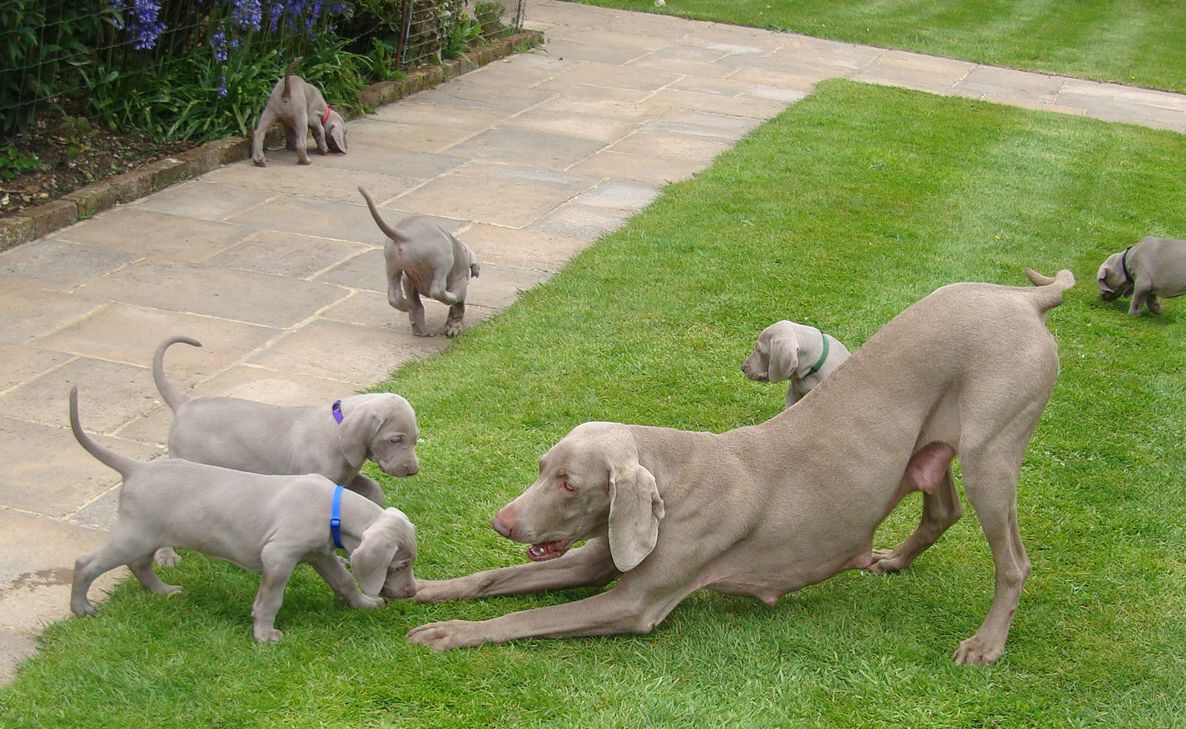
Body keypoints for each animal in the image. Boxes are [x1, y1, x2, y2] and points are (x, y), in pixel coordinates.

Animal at [67, 387, 417, 642]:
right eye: (398, 566)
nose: (411, 593)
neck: (331, 507)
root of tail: (136, 468)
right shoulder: (278, 556)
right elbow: (270, 598)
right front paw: (264, 635)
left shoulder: (320, 554)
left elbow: (343, 581)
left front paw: (364, 604)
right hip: (133, 535)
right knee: (86, 564)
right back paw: (81, 607)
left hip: (146, 535)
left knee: (139, 565)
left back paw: (163, 591)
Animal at [151, 335, 419, 566]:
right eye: (396, 440)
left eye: (415, 439)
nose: (413, 471)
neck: (337, 429)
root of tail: (184, 404)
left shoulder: (347, 477)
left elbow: (372, 489)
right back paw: (166, 556)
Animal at [359, 186, 480, 337]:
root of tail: (405, 235)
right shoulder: (460, 281)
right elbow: (458, 306)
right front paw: (454, 327)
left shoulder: (408, 280)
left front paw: (416, 320)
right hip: (442, 258)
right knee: (437, 290)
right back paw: (449, 298)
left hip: (392, 263)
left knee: (394, 295)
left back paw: (409, 309)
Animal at [405, 269, 1074, 666]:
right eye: (541, 466)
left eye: (570, 484)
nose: (502, 522)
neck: (674, 473)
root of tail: (1025, 296)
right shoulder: (601, 555)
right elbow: (494, 579)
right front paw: (424, 589)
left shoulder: (636, 603)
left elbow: (530, 615)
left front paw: (449, 633)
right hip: (932, 445)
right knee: (943, 508)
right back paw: (893, 560)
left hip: (993, 453)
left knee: (1013, 561)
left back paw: (986, 644)